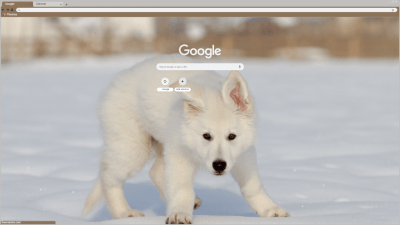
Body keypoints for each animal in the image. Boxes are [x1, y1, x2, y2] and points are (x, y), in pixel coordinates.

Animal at [83, 54, 290, 223]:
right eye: (206, 136)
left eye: (232, 136)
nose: (219, 165)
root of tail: (120, 77)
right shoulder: (180, 155)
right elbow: (181, 188)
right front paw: (179, 214)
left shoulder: (243, 154)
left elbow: (252, 187)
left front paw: (270, 210)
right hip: (133, 147)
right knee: (109, 176)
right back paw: (123, 213)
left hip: (161, 144)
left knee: (155, 171)